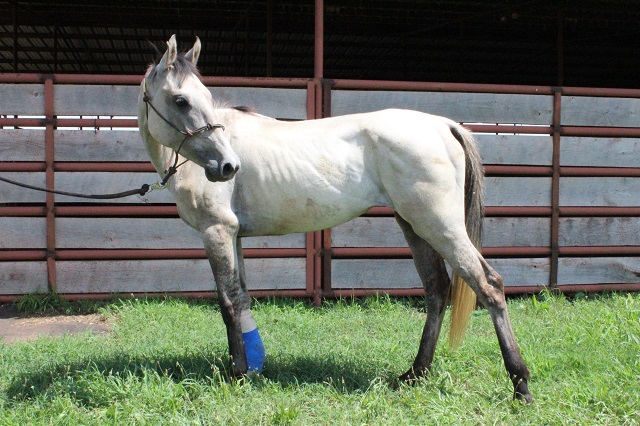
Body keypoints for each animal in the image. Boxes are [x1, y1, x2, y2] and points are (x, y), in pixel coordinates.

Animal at [138, 34, 532, 402]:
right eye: (181, 100)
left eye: (201, 97)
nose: (228, 167)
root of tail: (444, 125)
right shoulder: (234, 236)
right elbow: (243, 297)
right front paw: (251, 369)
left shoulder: (216, 231)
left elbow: (228, 303)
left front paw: (237, 374)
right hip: (415, 226)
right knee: (437, 290)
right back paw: (415, 373)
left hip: (440, 226)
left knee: (488, 285)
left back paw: (520, 384)